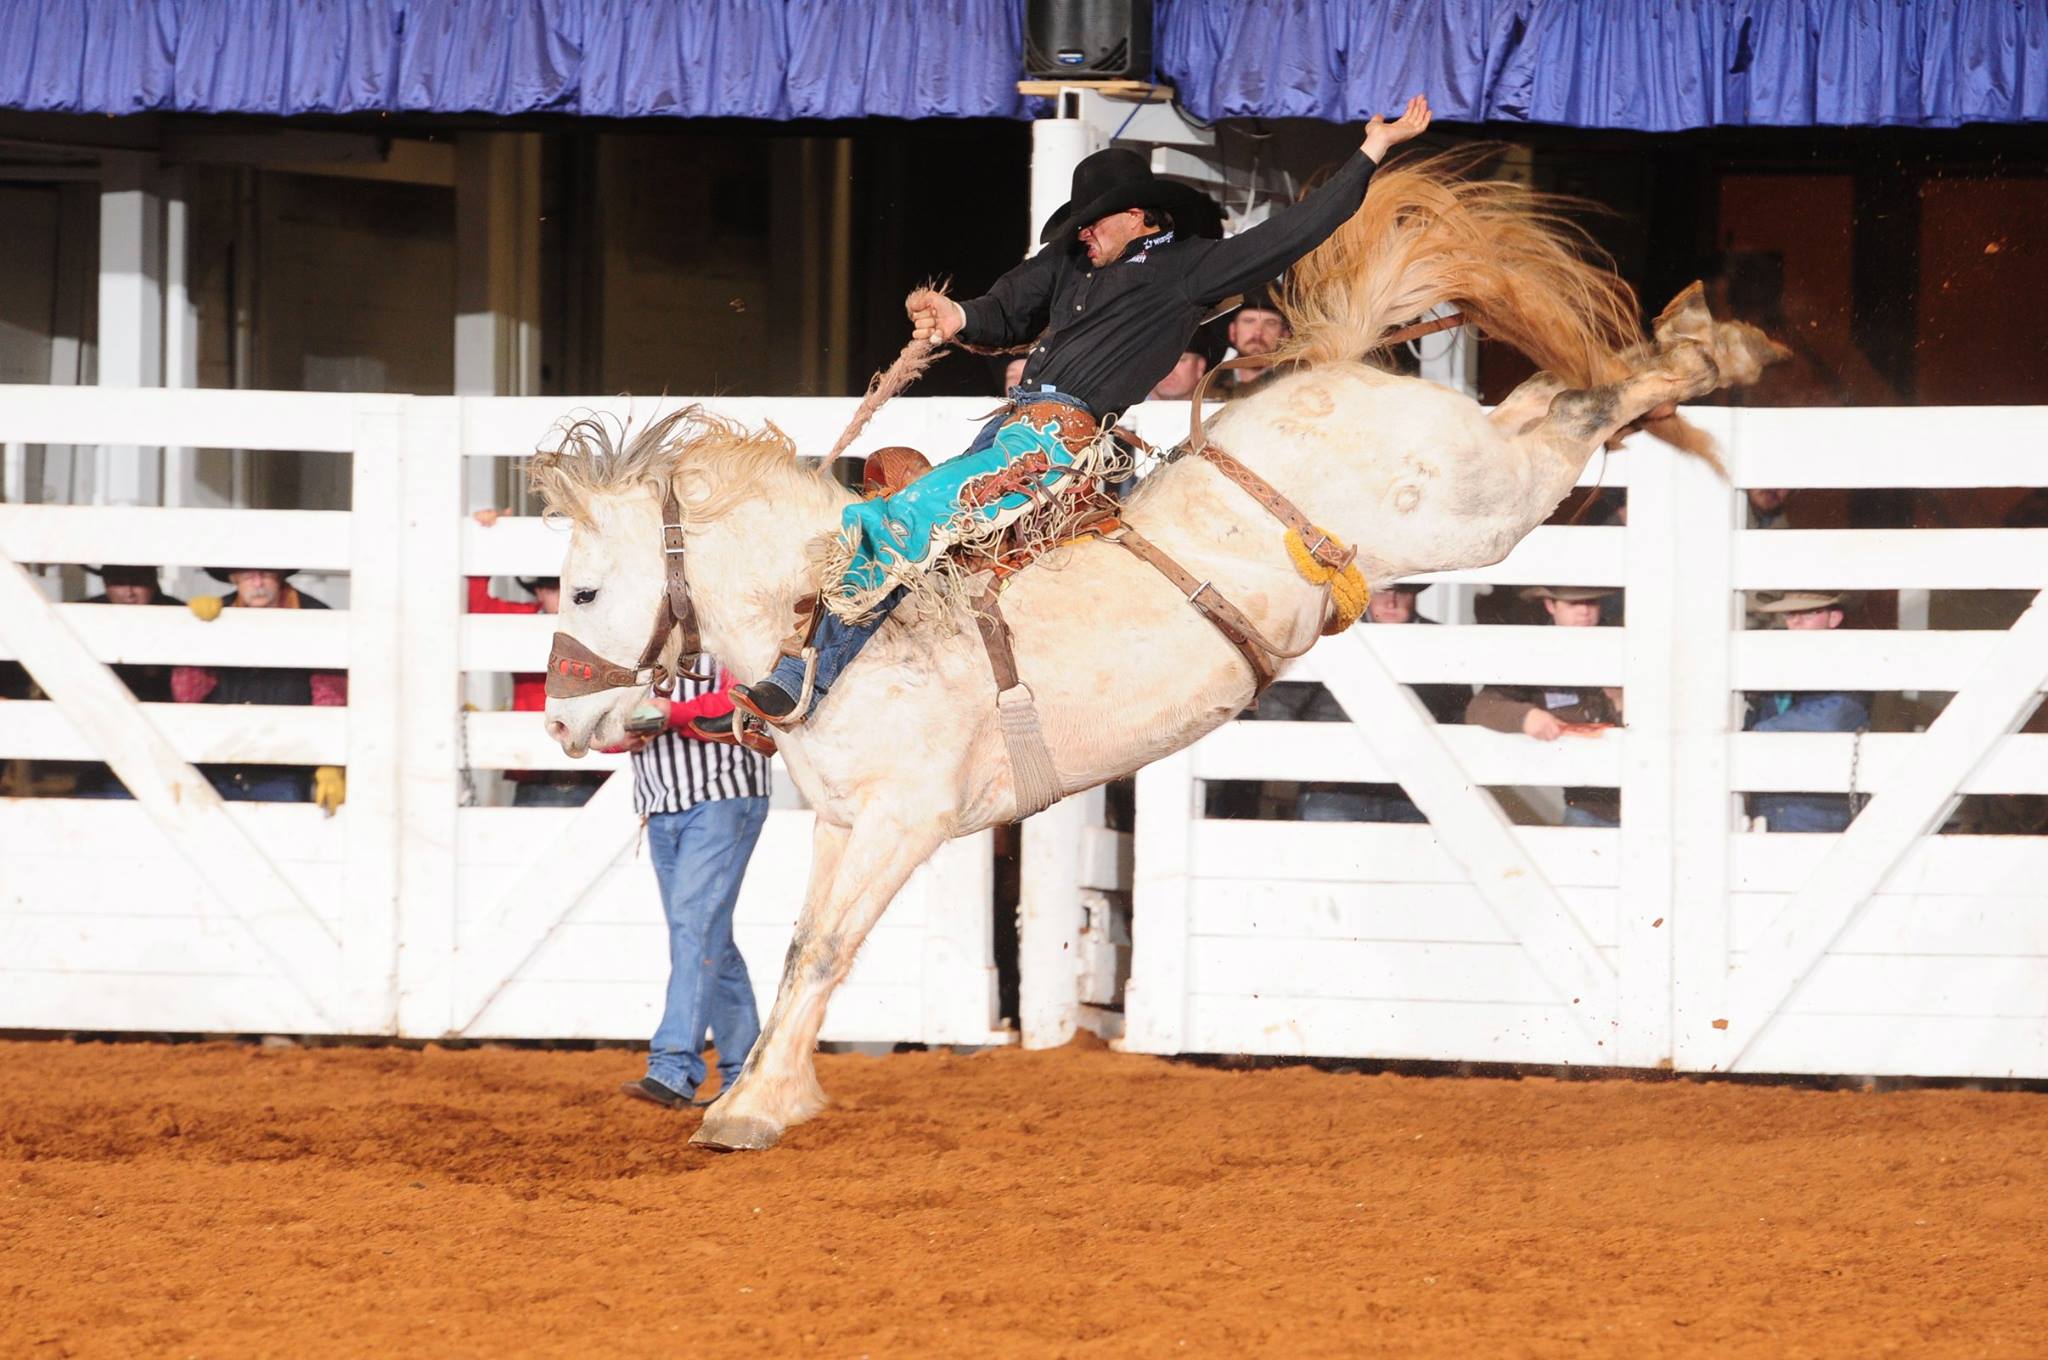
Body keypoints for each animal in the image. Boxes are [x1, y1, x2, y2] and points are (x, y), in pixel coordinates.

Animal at [536, 153, 1785, 1146]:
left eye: (584, 586)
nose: (558, 715)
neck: (842, 613)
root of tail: (1335, 369)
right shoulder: (847, 823)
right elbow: (803, 947)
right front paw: (773, 1091)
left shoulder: (905, 822)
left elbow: (830, 948)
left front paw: (748, 1109)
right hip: (1473, 472)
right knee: (1549, 398)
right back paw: (1684, 341)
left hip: (1474, 508)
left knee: (1573, 413)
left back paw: (1708, 350)